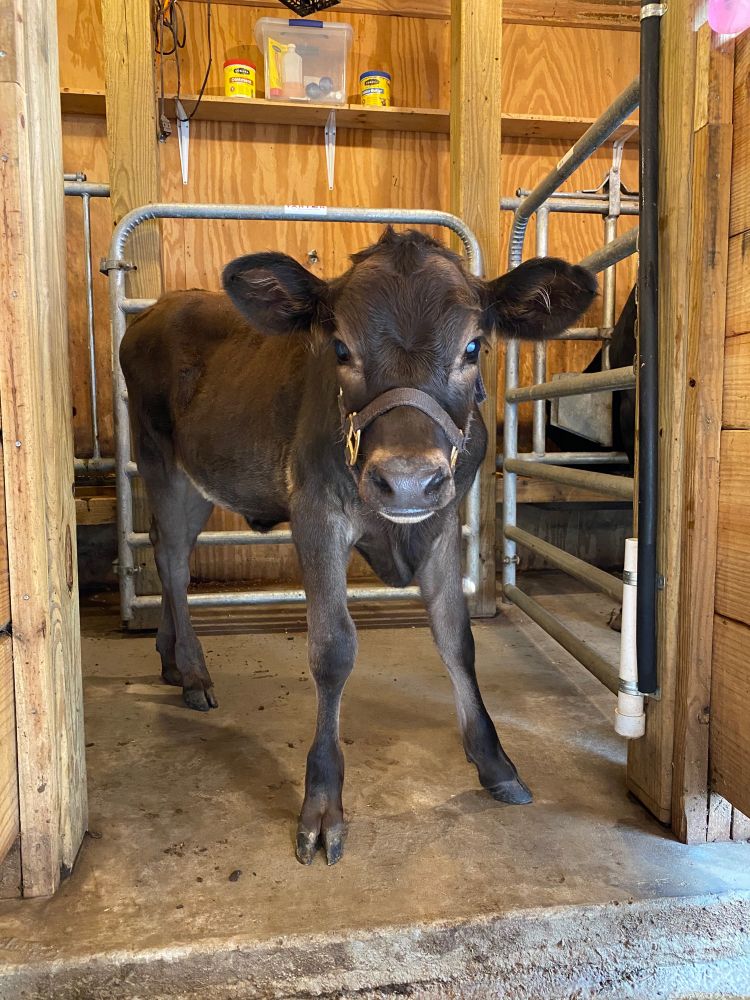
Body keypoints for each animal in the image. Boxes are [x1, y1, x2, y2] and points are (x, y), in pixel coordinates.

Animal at [120, 228, 596, 865]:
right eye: (341, 349)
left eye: (473, 347)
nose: (408, 480)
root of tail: (161, 307)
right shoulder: (316, 516)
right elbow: (334, 650)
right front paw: (323, 804)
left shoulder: (441, 521)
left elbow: (456, 639)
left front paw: (495, 762)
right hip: (161, 461)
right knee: (171, 560)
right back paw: (193, 671)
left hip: (198, 479)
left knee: (168, 552)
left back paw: (171, 659)